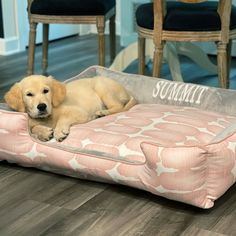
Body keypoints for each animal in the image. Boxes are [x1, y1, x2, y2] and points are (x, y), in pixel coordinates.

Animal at [4, 75, 136, 141]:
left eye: (46, 91)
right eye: (29, 94)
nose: (41, 106)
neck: (47, 117)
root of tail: (127, 92)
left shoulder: (79, 112)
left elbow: (63, 119)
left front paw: (59, 131)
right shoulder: (31, 122)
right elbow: (32, 128)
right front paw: (44, 132)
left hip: (102, 87)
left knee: (119, 106)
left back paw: (102, 113)